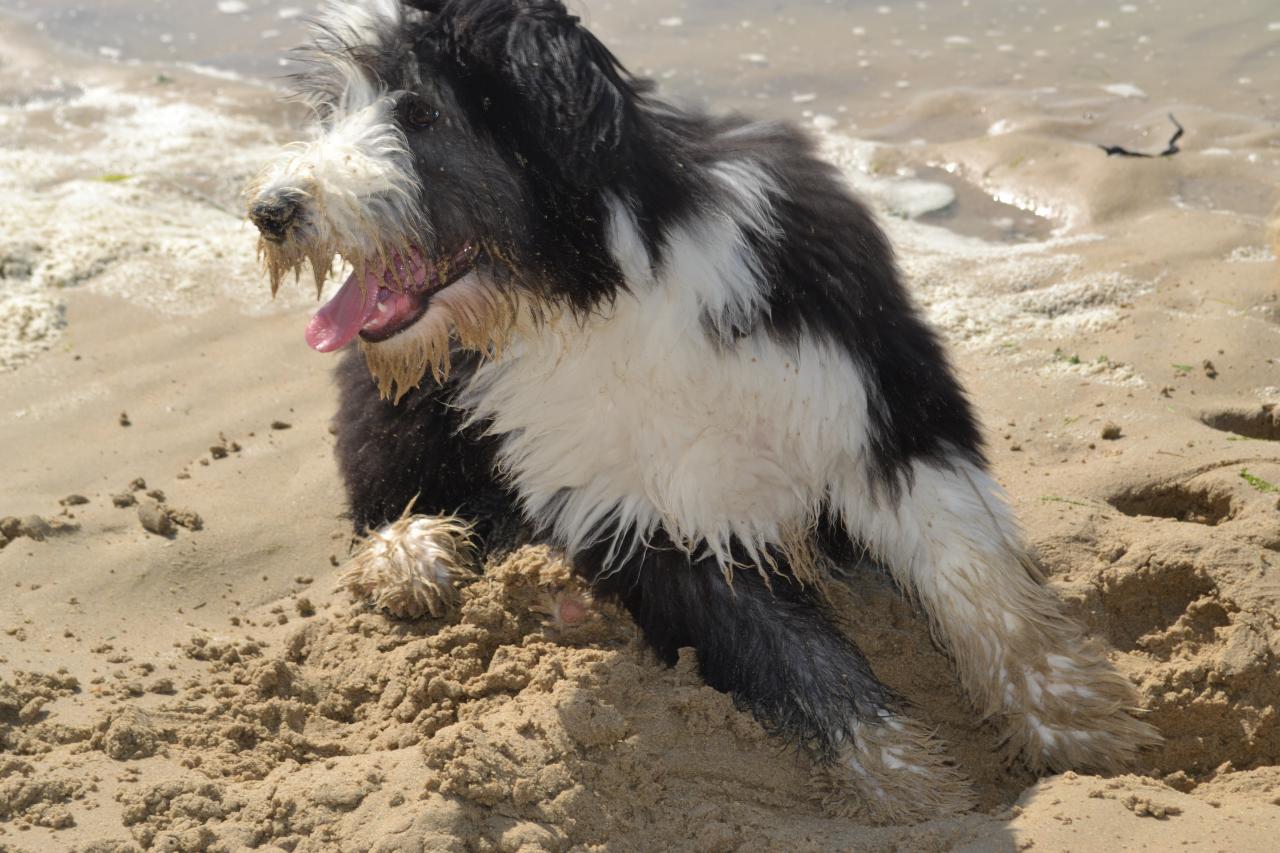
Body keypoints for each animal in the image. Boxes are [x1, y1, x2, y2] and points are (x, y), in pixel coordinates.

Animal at [249, 0, 1162, 819]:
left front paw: (1079, 725)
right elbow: (793, 655)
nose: (270, 209)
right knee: (376, 494)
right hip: (397, 405)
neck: (603, 289)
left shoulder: (877, 408)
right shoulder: (643, 511)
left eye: (420, 110)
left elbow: (977, 578)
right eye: (335, 107)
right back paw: (412, 552)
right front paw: (909, 781)